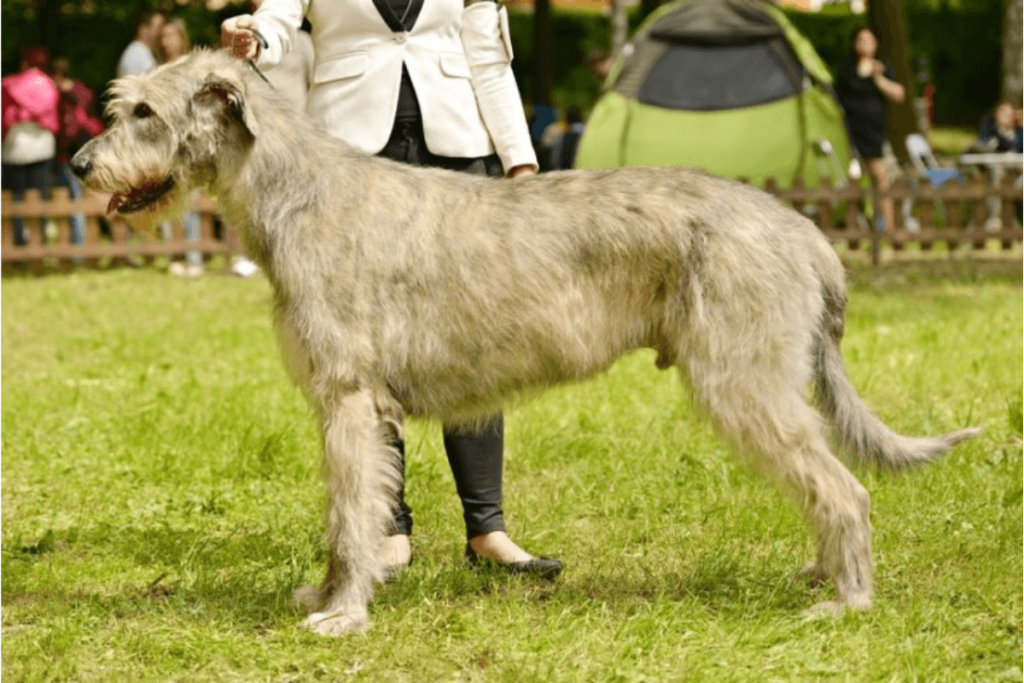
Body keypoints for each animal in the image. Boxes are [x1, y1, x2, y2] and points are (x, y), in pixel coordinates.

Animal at [68, 52, 978, 634]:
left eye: (144, 111)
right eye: (121, 103)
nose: (79, 164)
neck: (298, 191)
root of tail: (804, 228)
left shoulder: (350, 401)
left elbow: (354, 513)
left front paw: (344, 613)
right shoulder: (346, 408)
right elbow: (344, 511)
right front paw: (325, 594)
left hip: (742, 379)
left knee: (842, 486)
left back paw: (847, 600)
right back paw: (824, 573)